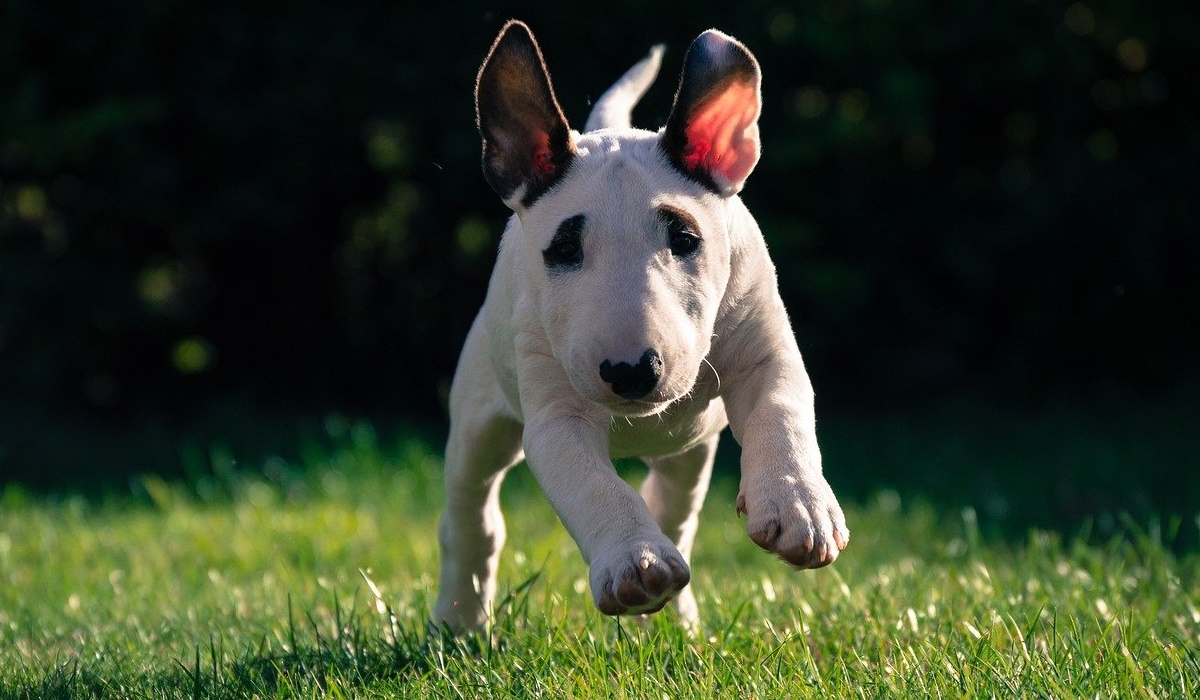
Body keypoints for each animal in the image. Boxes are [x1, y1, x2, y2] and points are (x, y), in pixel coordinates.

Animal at [436, 20, 849, 633]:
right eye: (564, 249)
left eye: (685, 239)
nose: (632, 372)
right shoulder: (556, 413)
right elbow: (593, 484)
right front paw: (636, 562)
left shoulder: (764, 349)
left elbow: (782, 411)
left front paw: (799, 506)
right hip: (477, 417)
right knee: (471, 518)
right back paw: (457, 619)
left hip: (689, 450)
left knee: (674, 503)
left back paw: (677, 618)